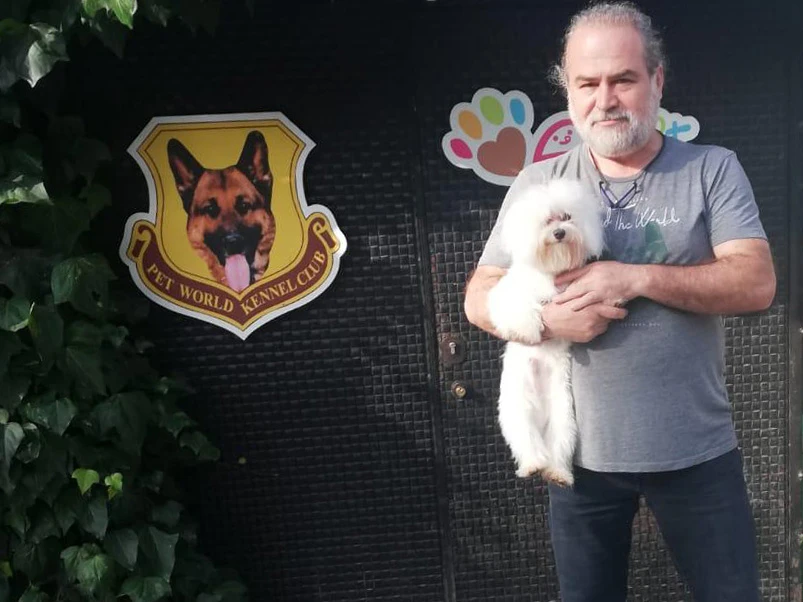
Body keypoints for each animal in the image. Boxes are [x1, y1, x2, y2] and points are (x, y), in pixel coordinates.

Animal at [487, 179, 604, 486]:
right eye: (545, 221)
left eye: (566, 217)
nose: (559, 232)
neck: (552, 269)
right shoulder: (509, 293)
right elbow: (521, 307)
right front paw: (529, 328)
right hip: (517, 408)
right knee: (526, 440)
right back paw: (532, 465)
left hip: (563, 417)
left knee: (558, 446)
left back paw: (558, 473)